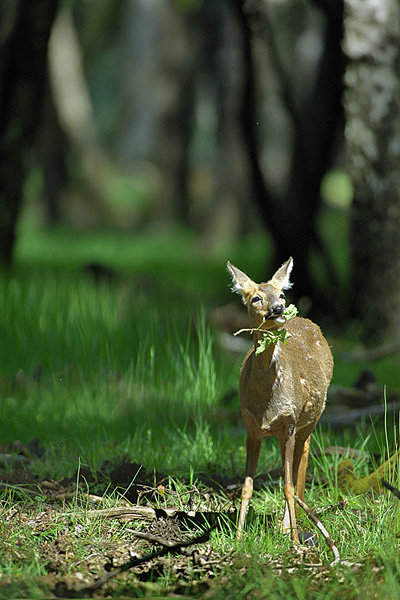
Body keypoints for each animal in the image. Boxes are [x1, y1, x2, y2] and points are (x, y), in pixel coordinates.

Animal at [227, 258, 332, 544]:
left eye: (282, 294)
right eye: (255, 298)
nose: (278, 308)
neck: (267, 404)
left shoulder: (289, 425)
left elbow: (287, 485)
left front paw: (294, 541)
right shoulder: (251, 428)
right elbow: (247, 486)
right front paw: (238, 537)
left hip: (310, 420)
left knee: (301, 464)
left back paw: (289, 528)